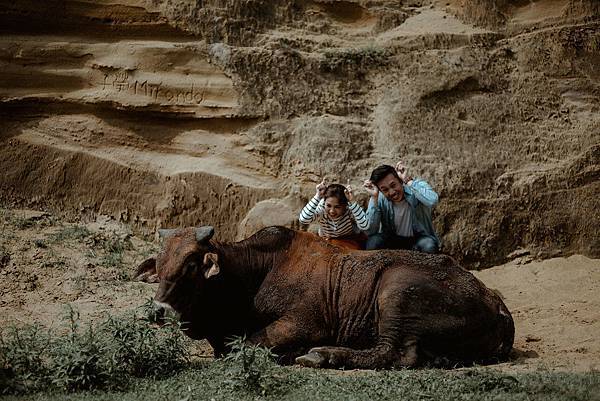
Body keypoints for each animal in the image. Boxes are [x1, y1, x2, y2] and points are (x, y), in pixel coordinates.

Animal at [136, 223, 516, 368]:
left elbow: (247, 343)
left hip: (395, 292)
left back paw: (325, 355)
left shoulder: (303, 324)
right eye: (161, 262)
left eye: (190, 265)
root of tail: (494, 299)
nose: (157, 311)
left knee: (396, 354)